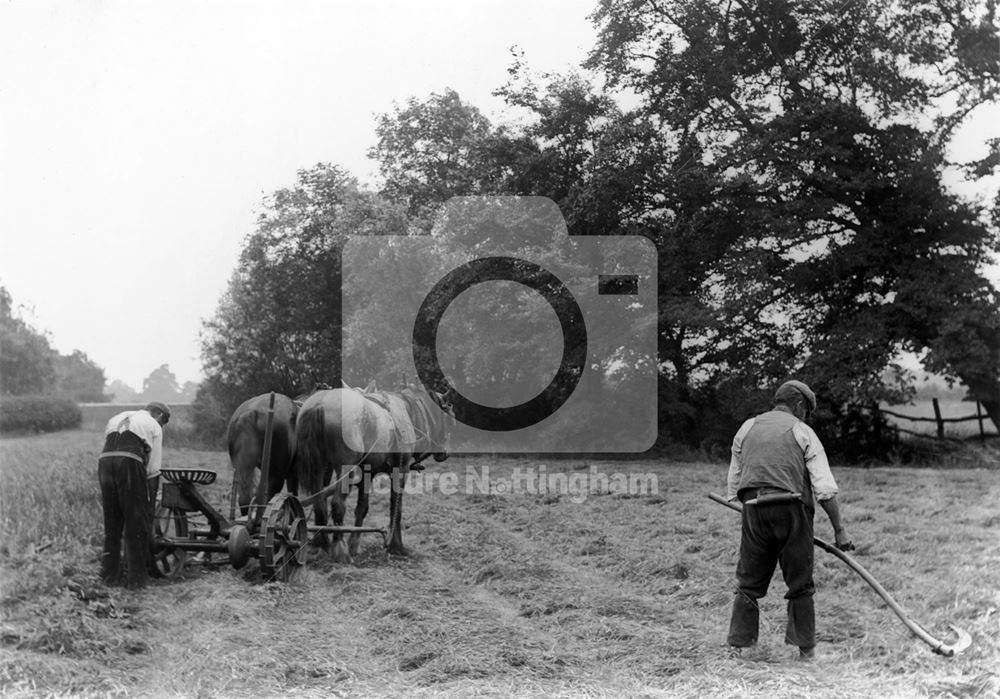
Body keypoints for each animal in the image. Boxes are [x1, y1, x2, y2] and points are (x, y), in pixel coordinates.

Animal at [292, 386, 454, 560]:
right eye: (450, 419)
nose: (444, 453)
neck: (406, 409)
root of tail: (320, 403)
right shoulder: (400, 470)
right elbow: (396, 508)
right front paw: (396, 545)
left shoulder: (367, 473)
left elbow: (362, 508)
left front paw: (355, 544)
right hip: (345, 470)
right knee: (337, 504)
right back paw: (340, 548)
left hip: (319, 469)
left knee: (319, 502)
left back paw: (321, 544)